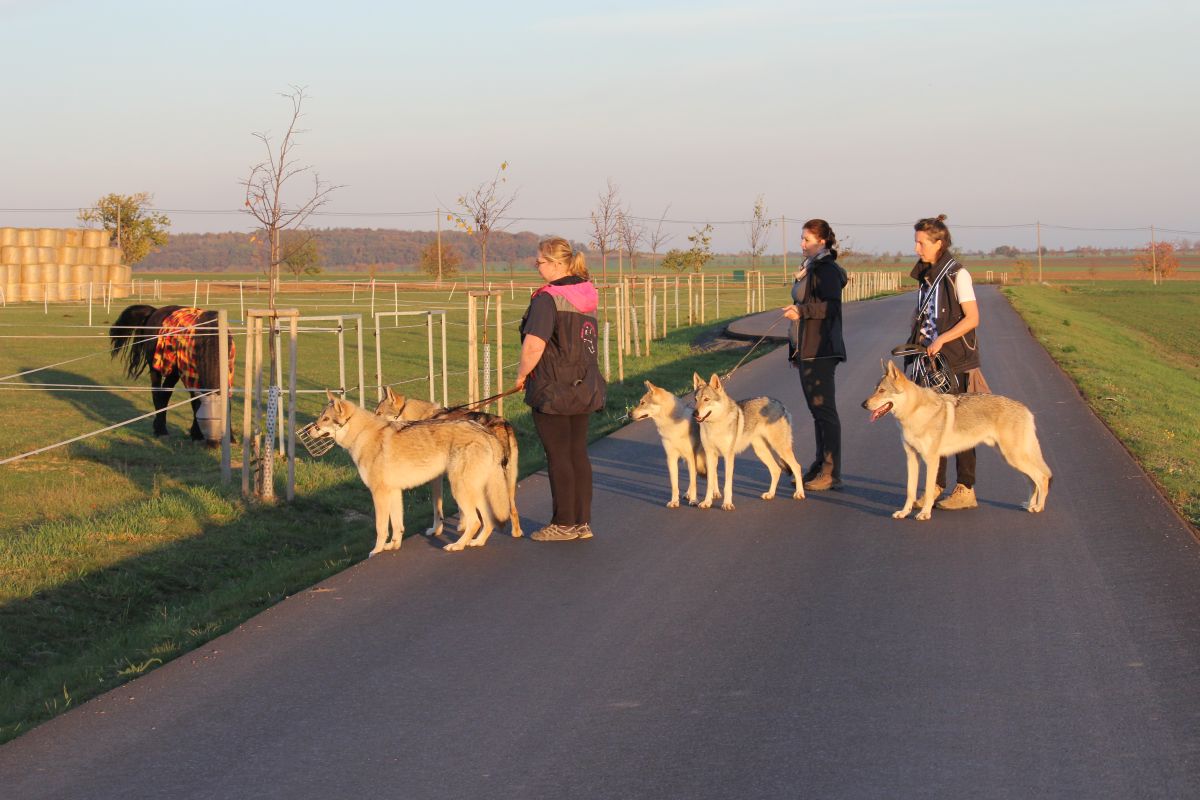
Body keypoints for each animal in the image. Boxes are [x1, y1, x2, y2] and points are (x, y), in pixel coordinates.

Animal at [110, 304, 236, 443]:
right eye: (204, 420)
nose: (213, 443)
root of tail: (155, 311)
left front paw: (231, 438)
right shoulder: (190, 376)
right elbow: (195, 402)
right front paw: (196, 434)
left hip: (173, 373)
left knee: (165, 393)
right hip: (156, 369)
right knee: (157, 394)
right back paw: (161, 430)